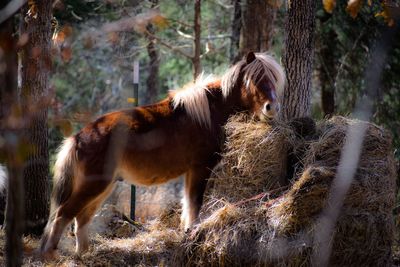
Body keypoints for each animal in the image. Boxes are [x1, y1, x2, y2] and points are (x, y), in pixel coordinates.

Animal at [39, 51, 284, 260]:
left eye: (273, 79)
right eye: (255, 79)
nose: (271, 108)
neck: (210, 113)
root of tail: (78, 137)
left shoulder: (191, 172)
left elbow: (188, 204)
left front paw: (187, 233)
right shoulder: (200, 168)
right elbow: (195, 203)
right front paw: (192, 236)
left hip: (103, 187)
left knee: (81, 218)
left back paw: (84, 254)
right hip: (94, 185)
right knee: (63, 214)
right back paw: (52, 255)